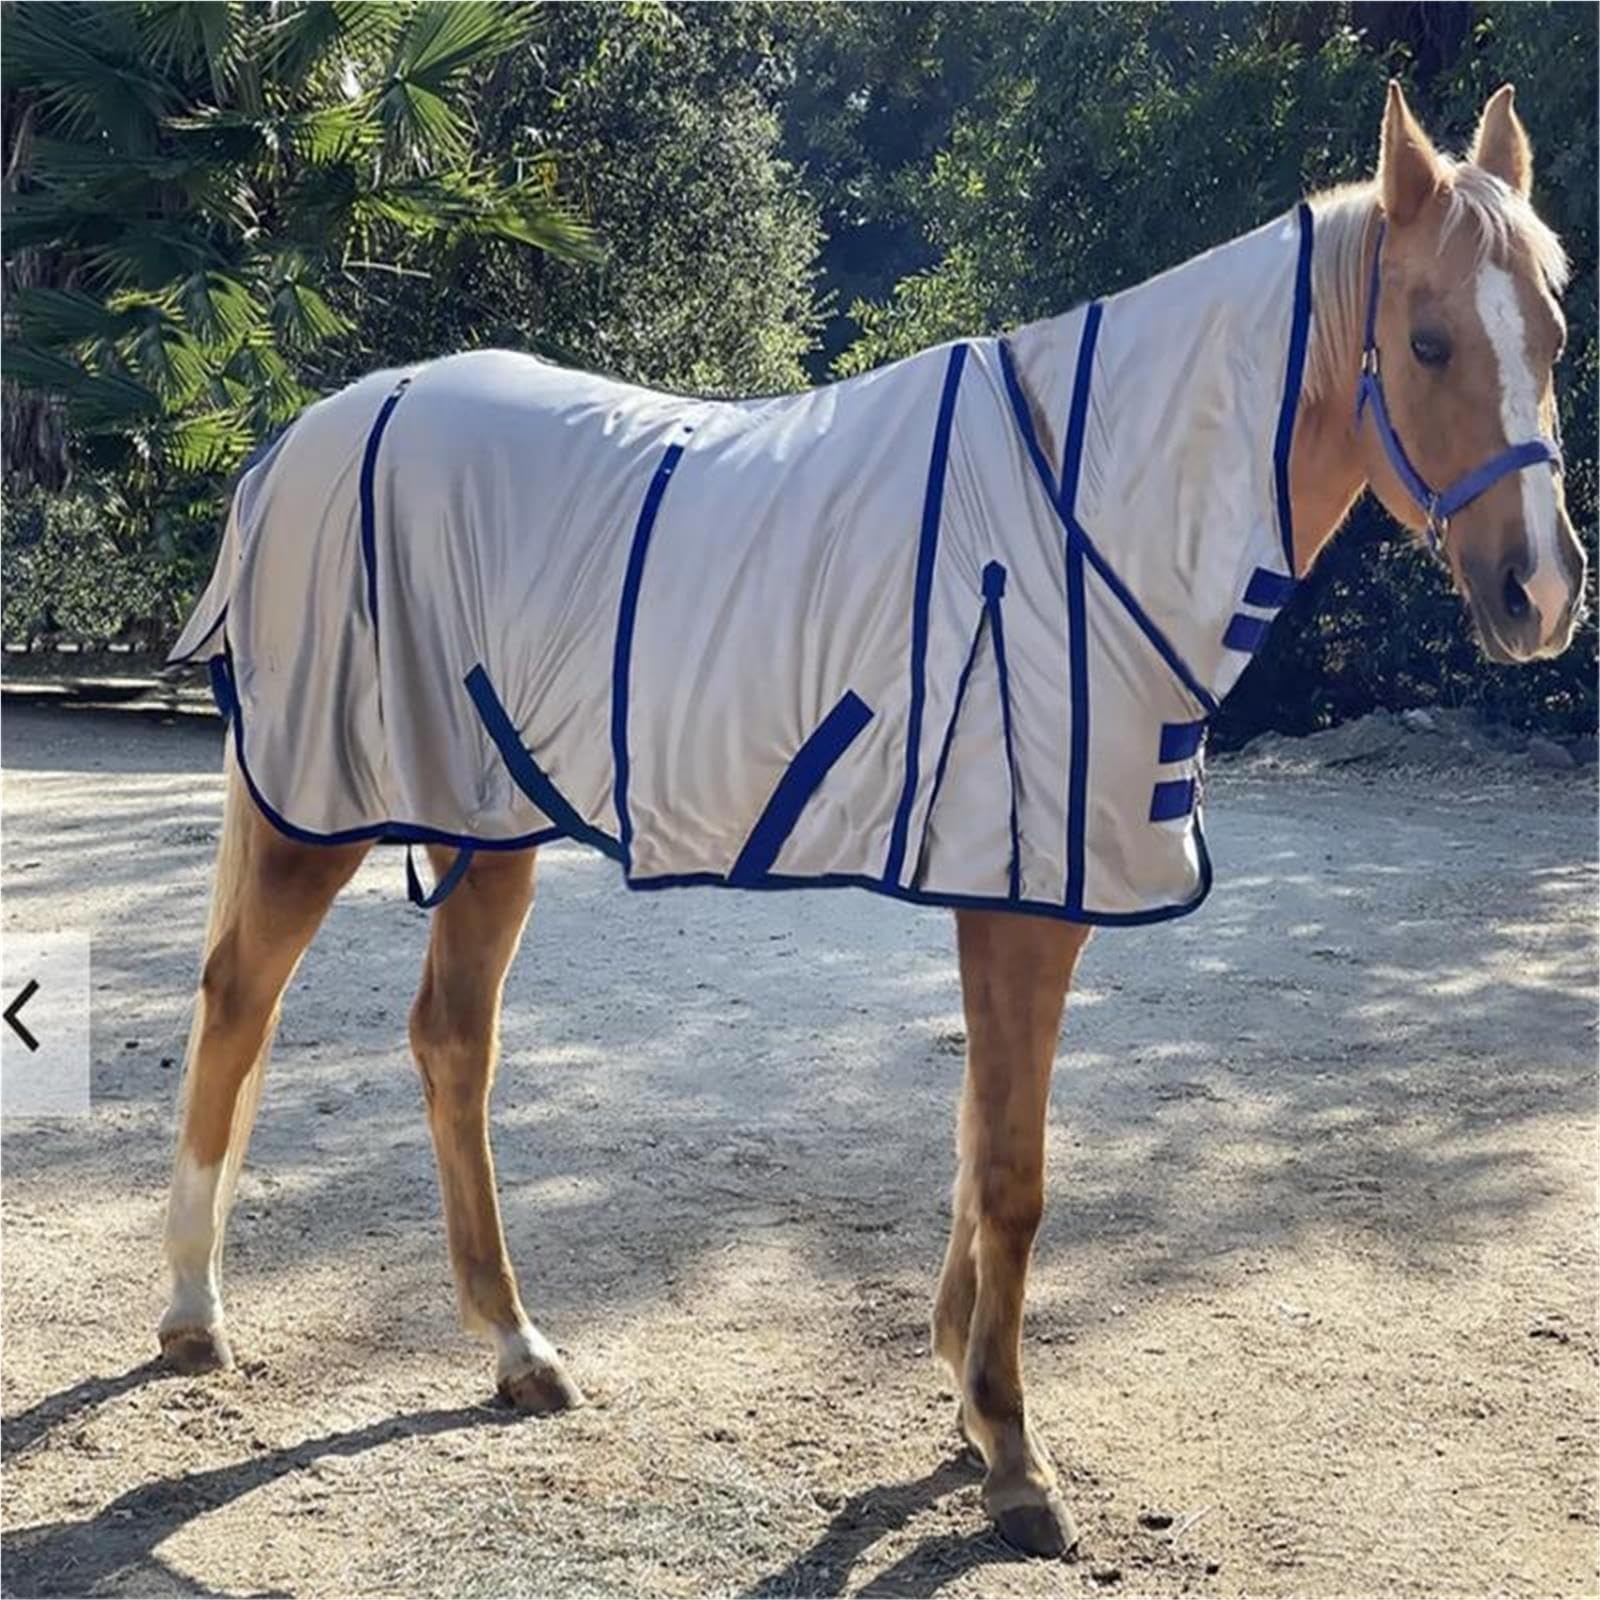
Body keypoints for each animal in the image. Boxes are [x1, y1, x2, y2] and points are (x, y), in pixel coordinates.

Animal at [155, 82, 1584, 1557]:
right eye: (1426, 339)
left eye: (1553, 332)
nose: (1540, 596)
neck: (1086, 508)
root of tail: (301, 439)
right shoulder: (1020, 901)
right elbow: (1013, 1170)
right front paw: (1011, 1453)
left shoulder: (1021, 891)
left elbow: (975, 1139)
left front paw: (962, 1390)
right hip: (325, 809)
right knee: (239, 1000)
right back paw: (197, 1316)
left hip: (485, 820)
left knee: (450, 1043)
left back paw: (515, 1347)